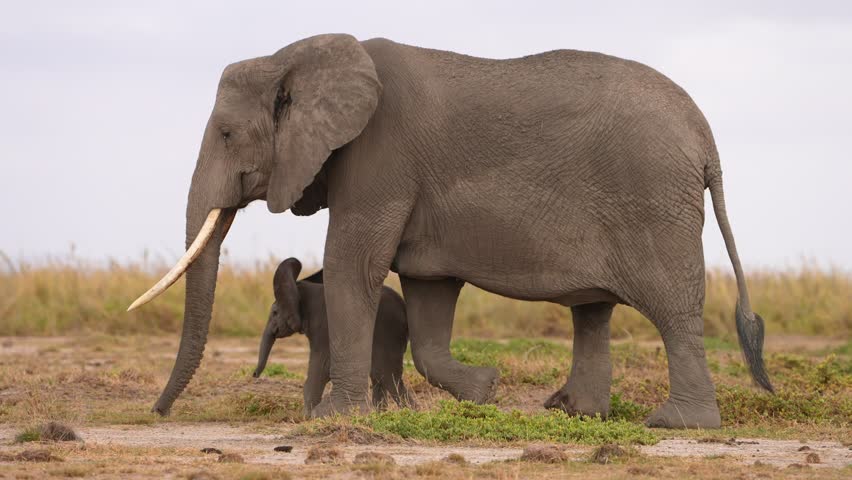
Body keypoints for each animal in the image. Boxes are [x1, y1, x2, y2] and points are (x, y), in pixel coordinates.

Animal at [253, 257, 412, 414]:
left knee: (387, 375)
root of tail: (404, 309)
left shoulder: (323, 327)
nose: (254, 375)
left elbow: (321, 365)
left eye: (275, 312)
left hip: (389, 333)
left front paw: (308, 417)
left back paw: (410, 412)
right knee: (380, 375)